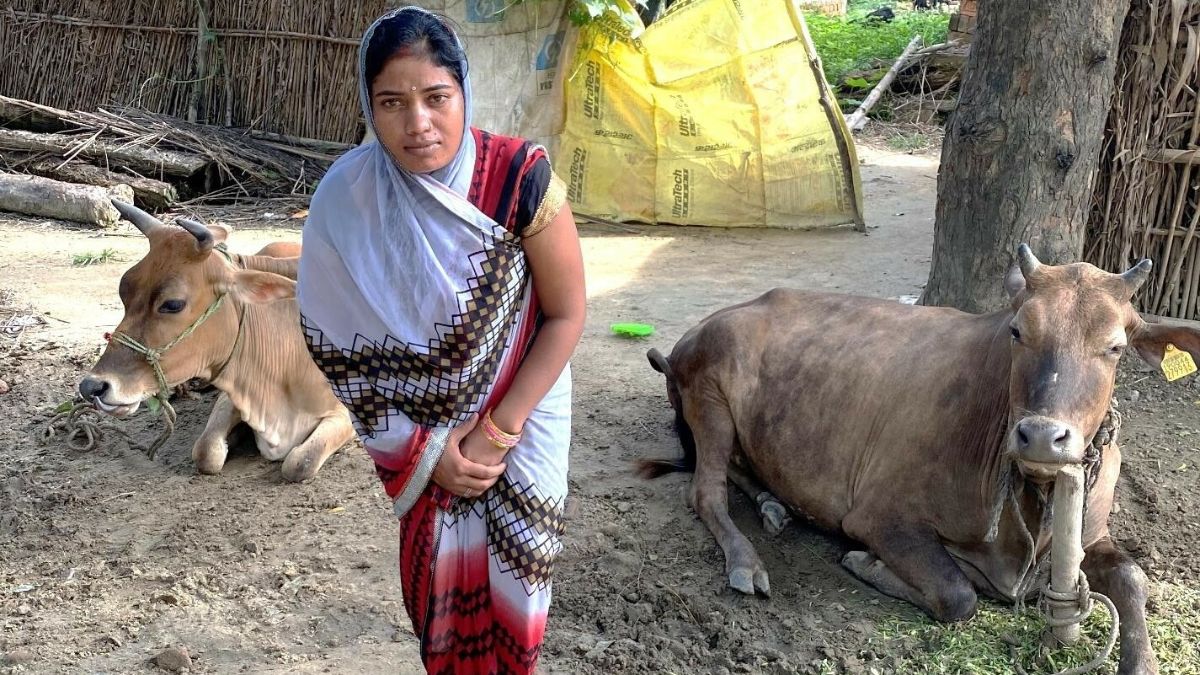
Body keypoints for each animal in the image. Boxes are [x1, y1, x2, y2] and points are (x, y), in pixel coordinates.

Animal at [78, 200, 355, 482]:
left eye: (173, 304)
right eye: (123, 292)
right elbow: (206, 451)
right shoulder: (231, 395)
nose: (92, 387)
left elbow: (300, 463)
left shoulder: (346, 412)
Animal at [639, 246, 1197, 674]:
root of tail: (703, 328)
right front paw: (867, 563)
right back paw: (747, 563)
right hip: (710, 400)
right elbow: (957, 594)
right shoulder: (878, 517)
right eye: (1018, 331)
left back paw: (774, 505)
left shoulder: (1091, 535)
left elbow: (1134, 578)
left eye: (1116, 347)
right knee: (705, 491)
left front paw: (1141, 662)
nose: (1041, 437)